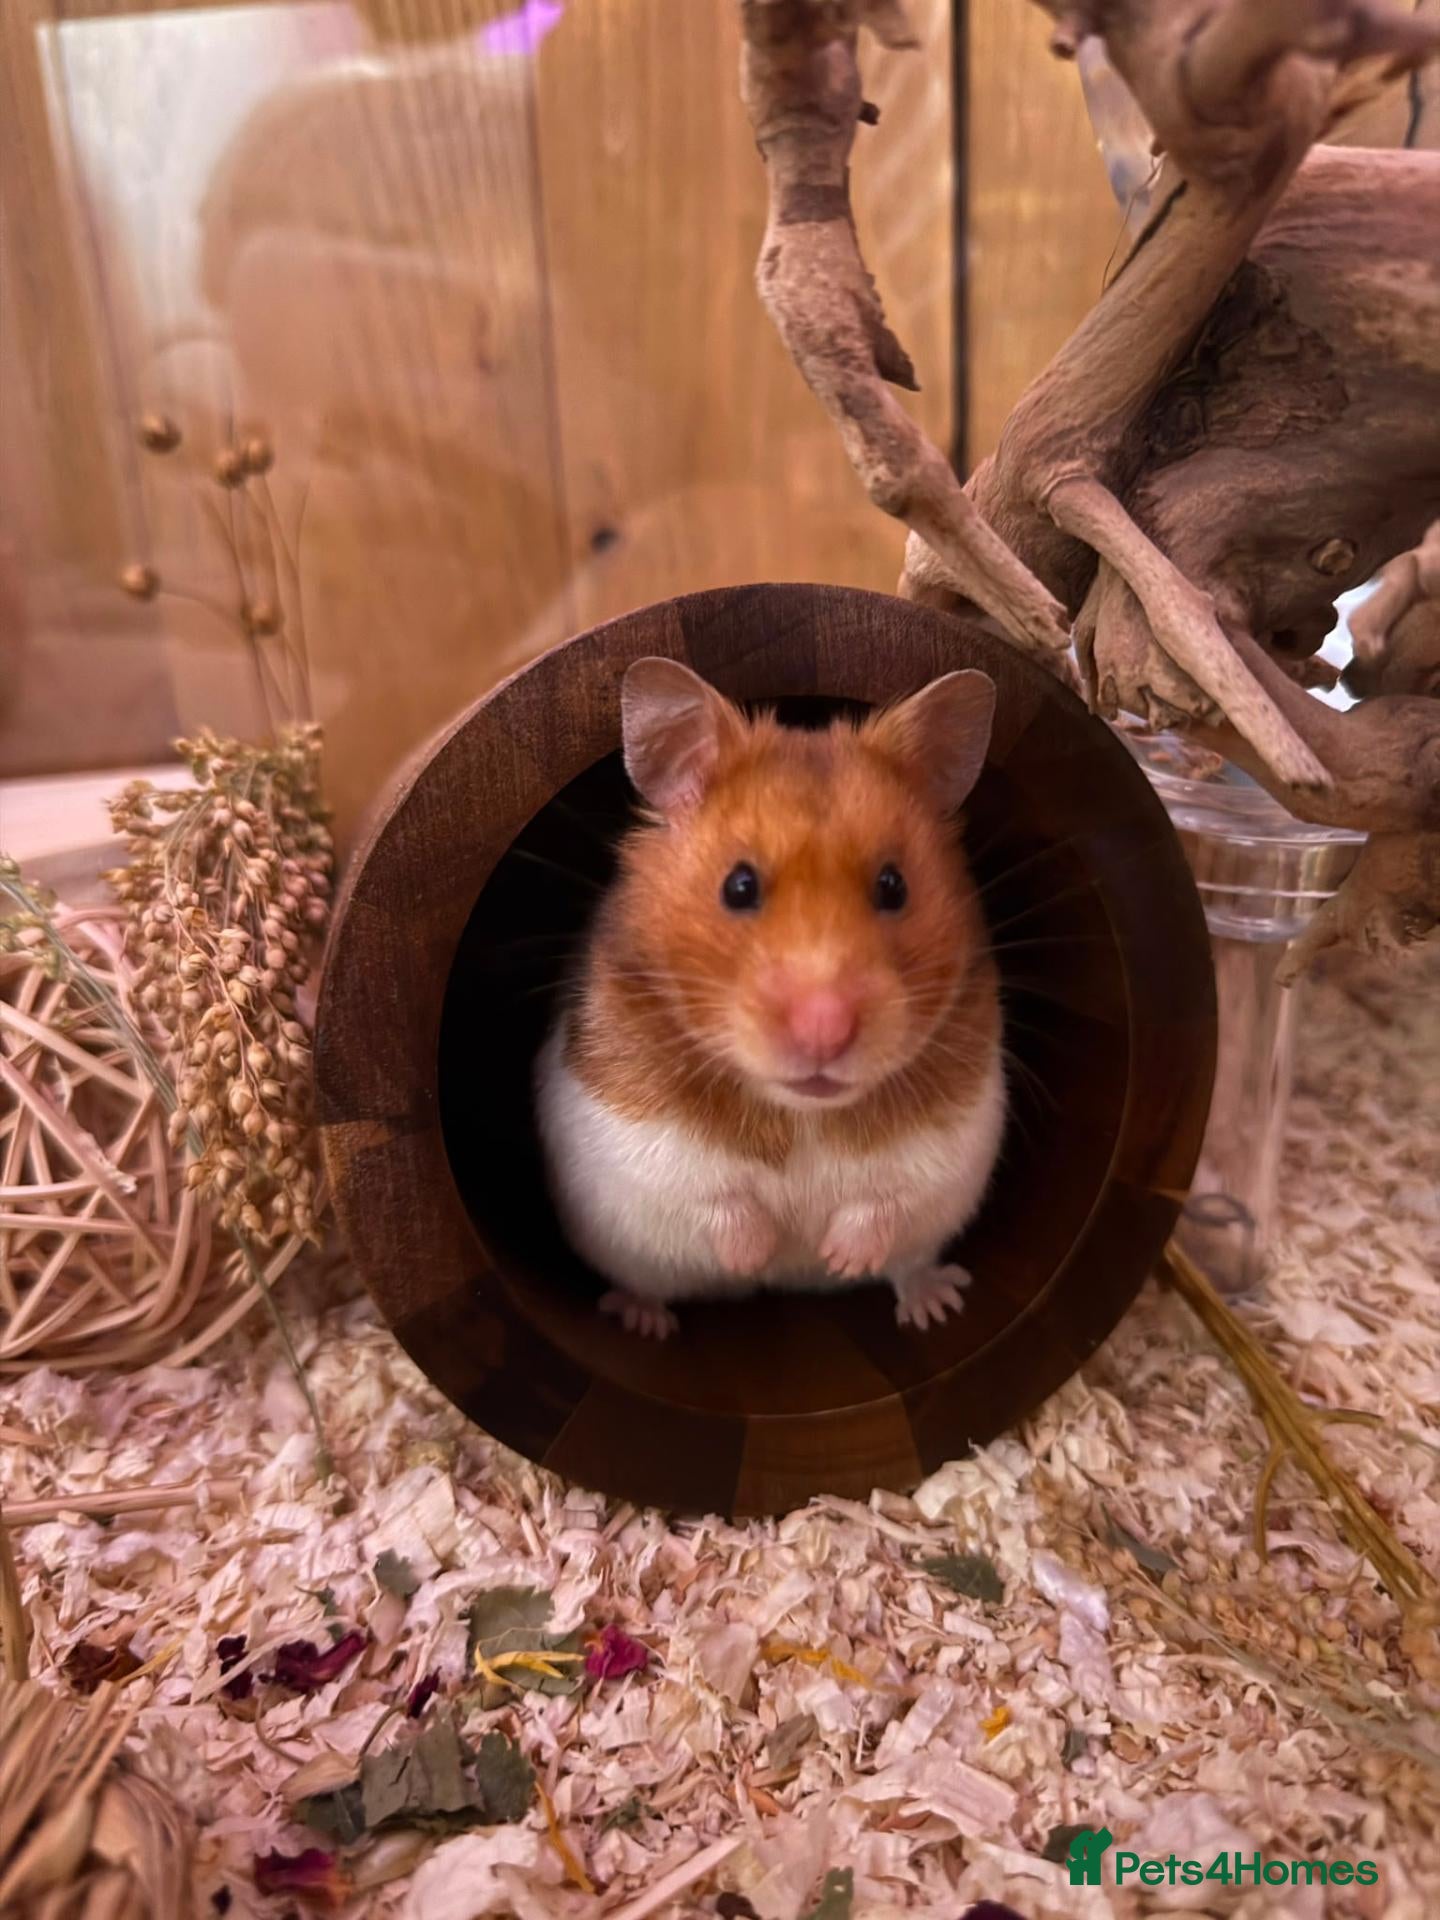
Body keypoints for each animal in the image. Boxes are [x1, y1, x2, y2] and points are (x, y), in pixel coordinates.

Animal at [534, 657, 1006, 1339]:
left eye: (894, 886)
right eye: (739, 886)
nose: (824, 1030)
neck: (802, 1111)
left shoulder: (951, 1132)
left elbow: (887, 1196)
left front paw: (835, 1257)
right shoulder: (632, 1129)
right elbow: (710, 1194)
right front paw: (759, 1255)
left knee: (909, 1264)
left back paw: (934, 1305)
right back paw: (643, 1323)